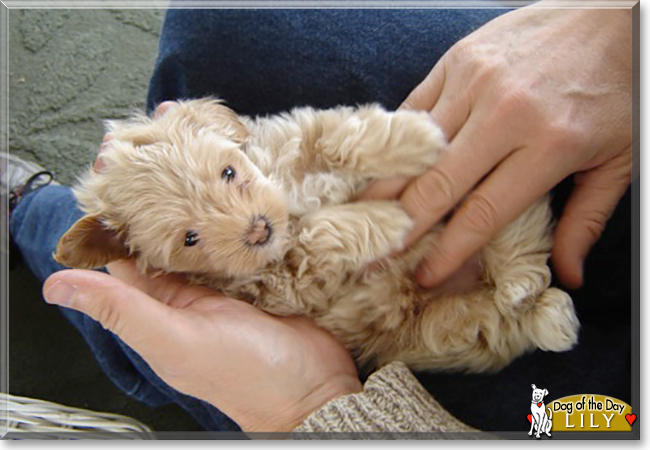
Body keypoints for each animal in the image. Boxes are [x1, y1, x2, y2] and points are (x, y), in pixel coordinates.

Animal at [52, 99, 576, 372]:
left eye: (228, 172)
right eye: (190, 239)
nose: (258, 230)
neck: (285, 191)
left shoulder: (301, 132)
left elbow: (336, 136)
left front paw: (414, 137)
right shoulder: (286, 283)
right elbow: (318, 234)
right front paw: (389, 221)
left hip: (495, 194)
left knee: (520, 241)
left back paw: (526, 288)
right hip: (439, 329)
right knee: (497, 319)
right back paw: (543, 312)